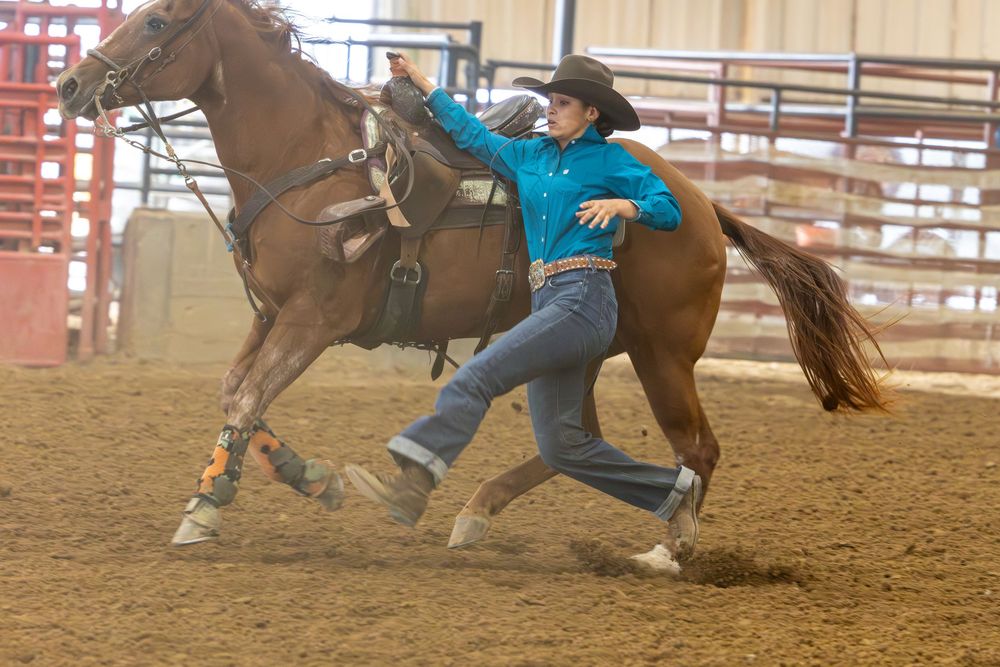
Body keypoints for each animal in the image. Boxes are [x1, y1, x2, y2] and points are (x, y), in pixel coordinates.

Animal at [56, 0, 888, 559]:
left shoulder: (312, 320)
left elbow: (249, 396)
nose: (69, 84)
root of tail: (701, 205)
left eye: (158, 22)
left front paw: (205, 506)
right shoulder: (269, 314)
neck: (308, 159)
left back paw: (668, 547)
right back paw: (478, 510)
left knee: (695, 448)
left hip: (662, 354)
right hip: (587, 348)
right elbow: (236, 394)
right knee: (573, 441)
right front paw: (310, 476)